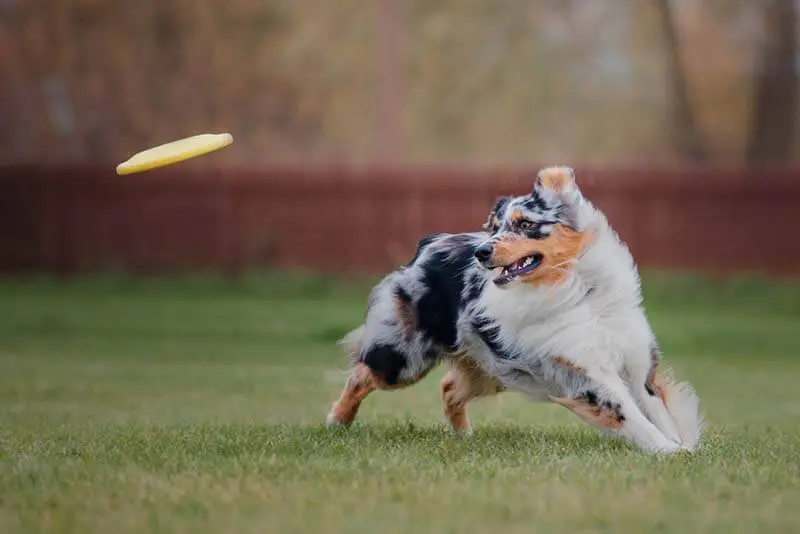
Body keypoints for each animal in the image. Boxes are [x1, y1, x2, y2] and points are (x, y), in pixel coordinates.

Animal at [324, 165, 700, 454]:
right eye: (495, 227)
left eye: (524, 224)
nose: (482, 252)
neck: (580, 293)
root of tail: (430, 243)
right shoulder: (588, 375)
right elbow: (631, 416)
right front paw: (669, 451)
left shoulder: (637, 369)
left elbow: (658, 412)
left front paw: (683, 447)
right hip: (405, 357)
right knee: (362, 374)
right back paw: (336, 422)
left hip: (492, 366)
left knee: (448, 388)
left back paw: (465, 435)